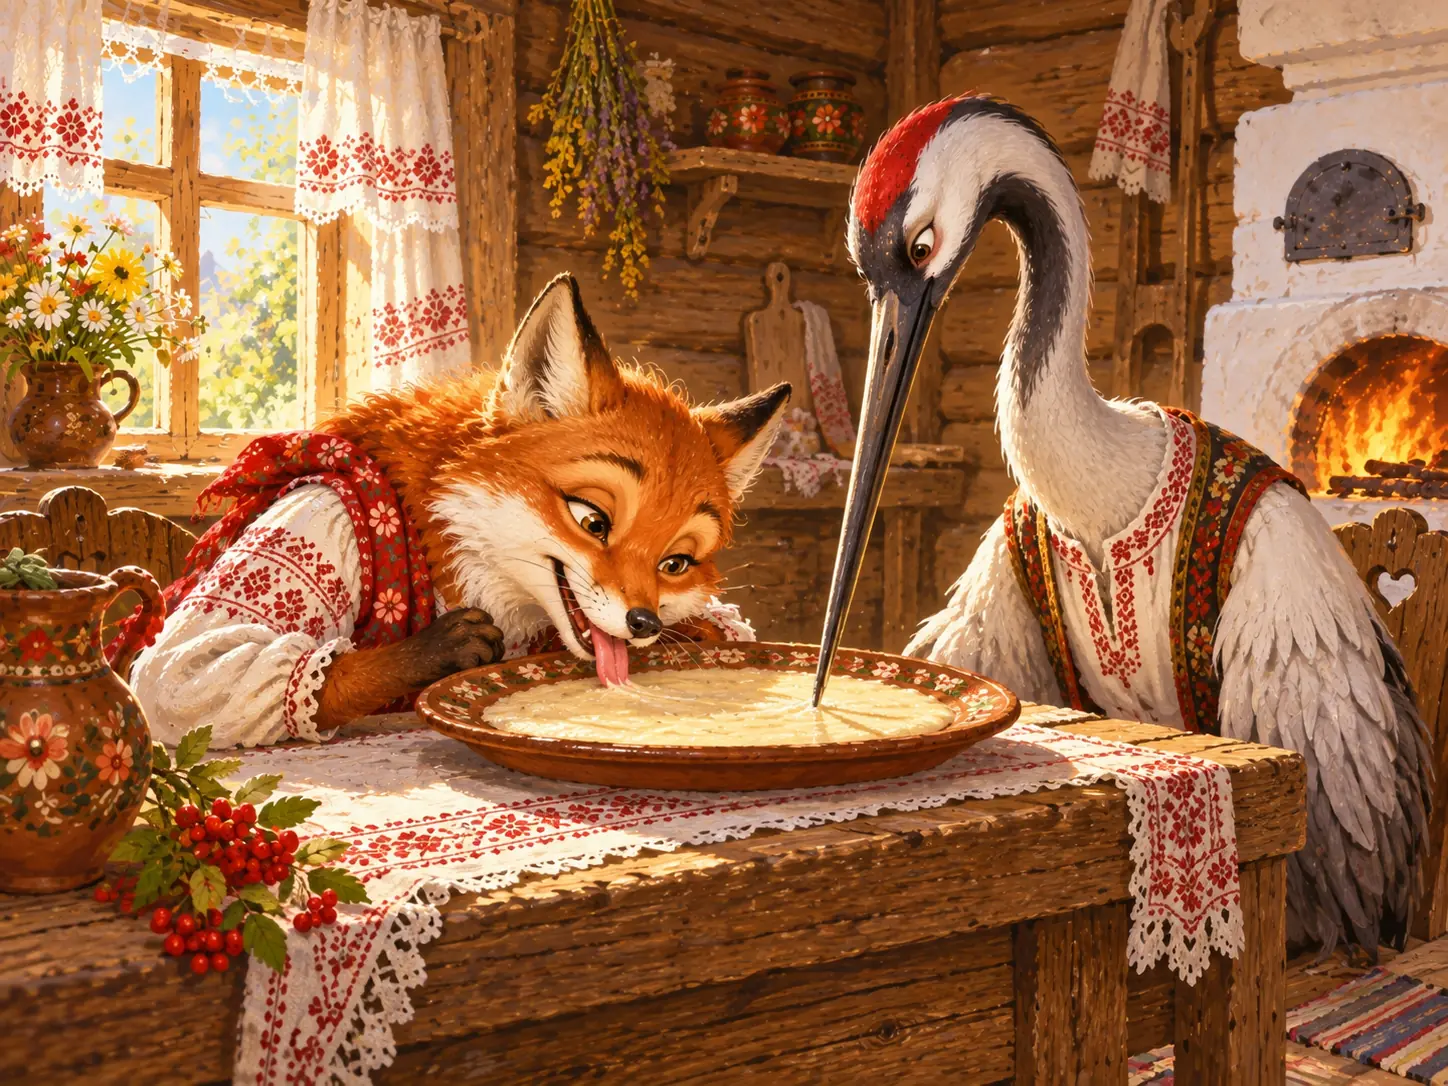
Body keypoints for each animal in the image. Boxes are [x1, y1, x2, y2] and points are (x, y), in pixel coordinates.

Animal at [129, 274, 791, 747]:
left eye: (675, 564)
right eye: (593, 523)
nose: (645, 623)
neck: (444, 536)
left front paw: (701, 631)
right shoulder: (316, 526)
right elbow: (193, 670)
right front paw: (432, 653)